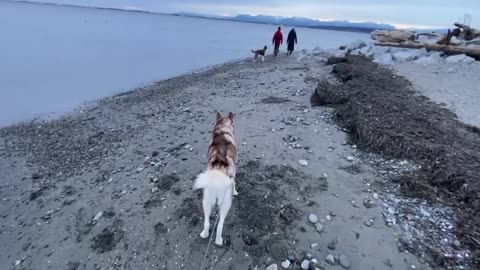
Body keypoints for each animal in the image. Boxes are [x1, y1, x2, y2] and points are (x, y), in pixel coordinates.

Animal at [193, 112, 238, 247]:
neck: (223, 129)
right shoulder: (234, 170)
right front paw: (236, 191)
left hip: (206, 201)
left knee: (207, 222)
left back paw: (205, 234)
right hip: (226, 204)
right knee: (220, 225)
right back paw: (218, 240)